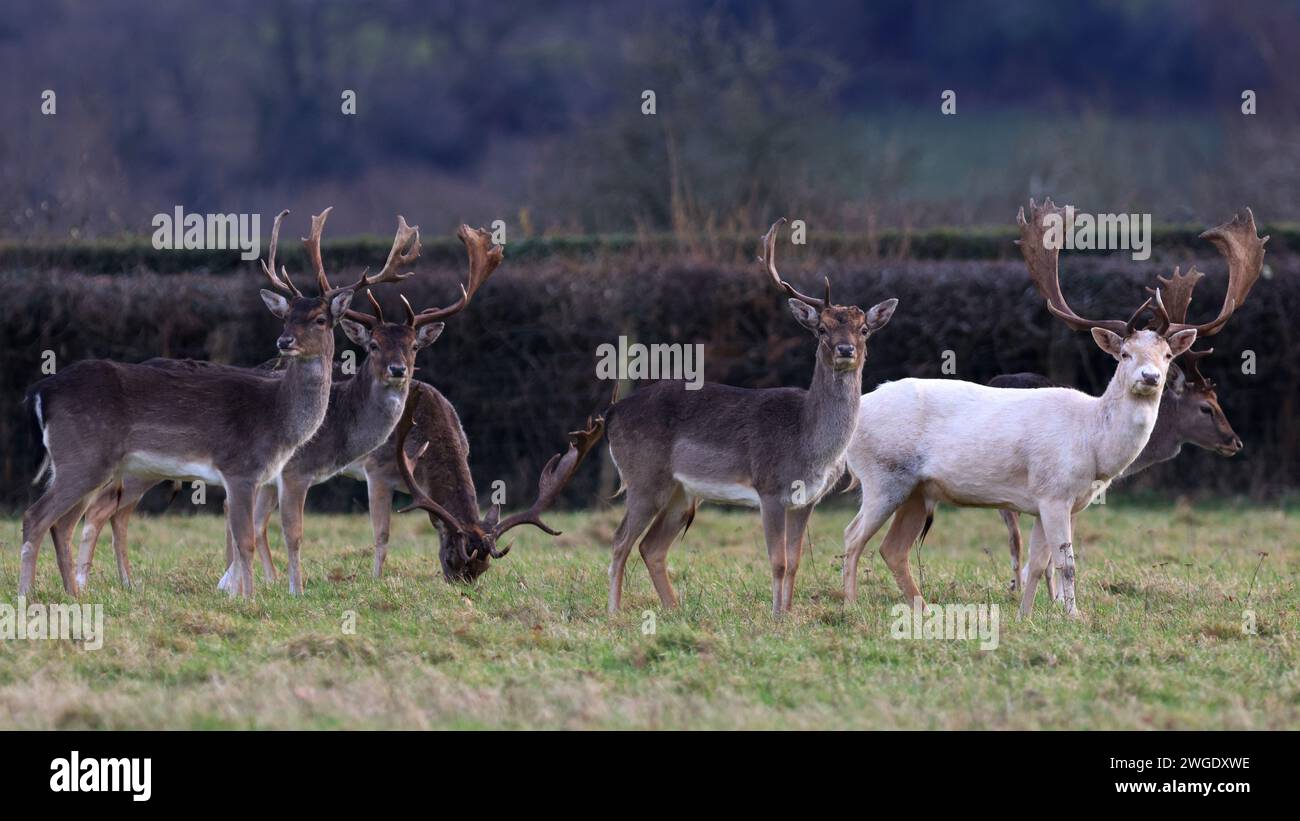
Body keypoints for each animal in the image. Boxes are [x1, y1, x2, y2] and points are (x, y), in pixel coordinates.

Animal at [22, 207, 371, 600]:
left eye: (320, 319)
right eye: (285, 317)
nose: (284, 341)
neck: (278, 418)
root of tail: (42, 391)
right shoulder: (239, 468)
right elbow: (245, 540)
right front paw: (249, 599)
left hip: (82, 465)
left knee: (62, 523)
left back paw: (74, 595)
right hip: (84, 457)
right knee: (36, 517)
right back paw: (26, 595)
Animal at [369, 379, 605, 579]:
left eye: (484, 569)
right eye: (450, 560)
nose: (464, 591)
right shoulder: (377, 472)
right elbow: (382, 535)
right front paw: (376, 580)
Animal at [600, 218, 899, 615]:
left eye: (863, 329)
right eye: (822, 329)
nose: (846, 349)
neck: (807, 441)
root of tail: (612, 413)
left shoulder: (808, 499)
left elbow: (796, 561)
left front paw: (788, 613)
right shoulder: (770, 487)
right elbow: (778, 561)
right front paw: (775, 617)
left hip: (682, 491)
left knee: (651, 546)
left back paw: (675, 610)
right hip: (643, 478)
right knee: (620, 540)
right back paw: (614, 613)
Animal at [837, 202, 1263, 618]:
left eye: (1167, 354)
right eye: (1125, 354)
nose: (1150, 377)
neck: (1093, 446)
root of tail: (857, 412)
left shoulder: (1046, 501)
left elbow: (1039, 562)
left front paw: (1027, 617)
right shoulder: (1055, 493)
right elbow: (1065, 563)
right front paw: (1073, 616)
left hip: (918, 489)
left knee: (893, 548)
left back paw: (923, 609)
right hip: (883, 475)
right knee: (853, 535)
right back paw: (851, 605)